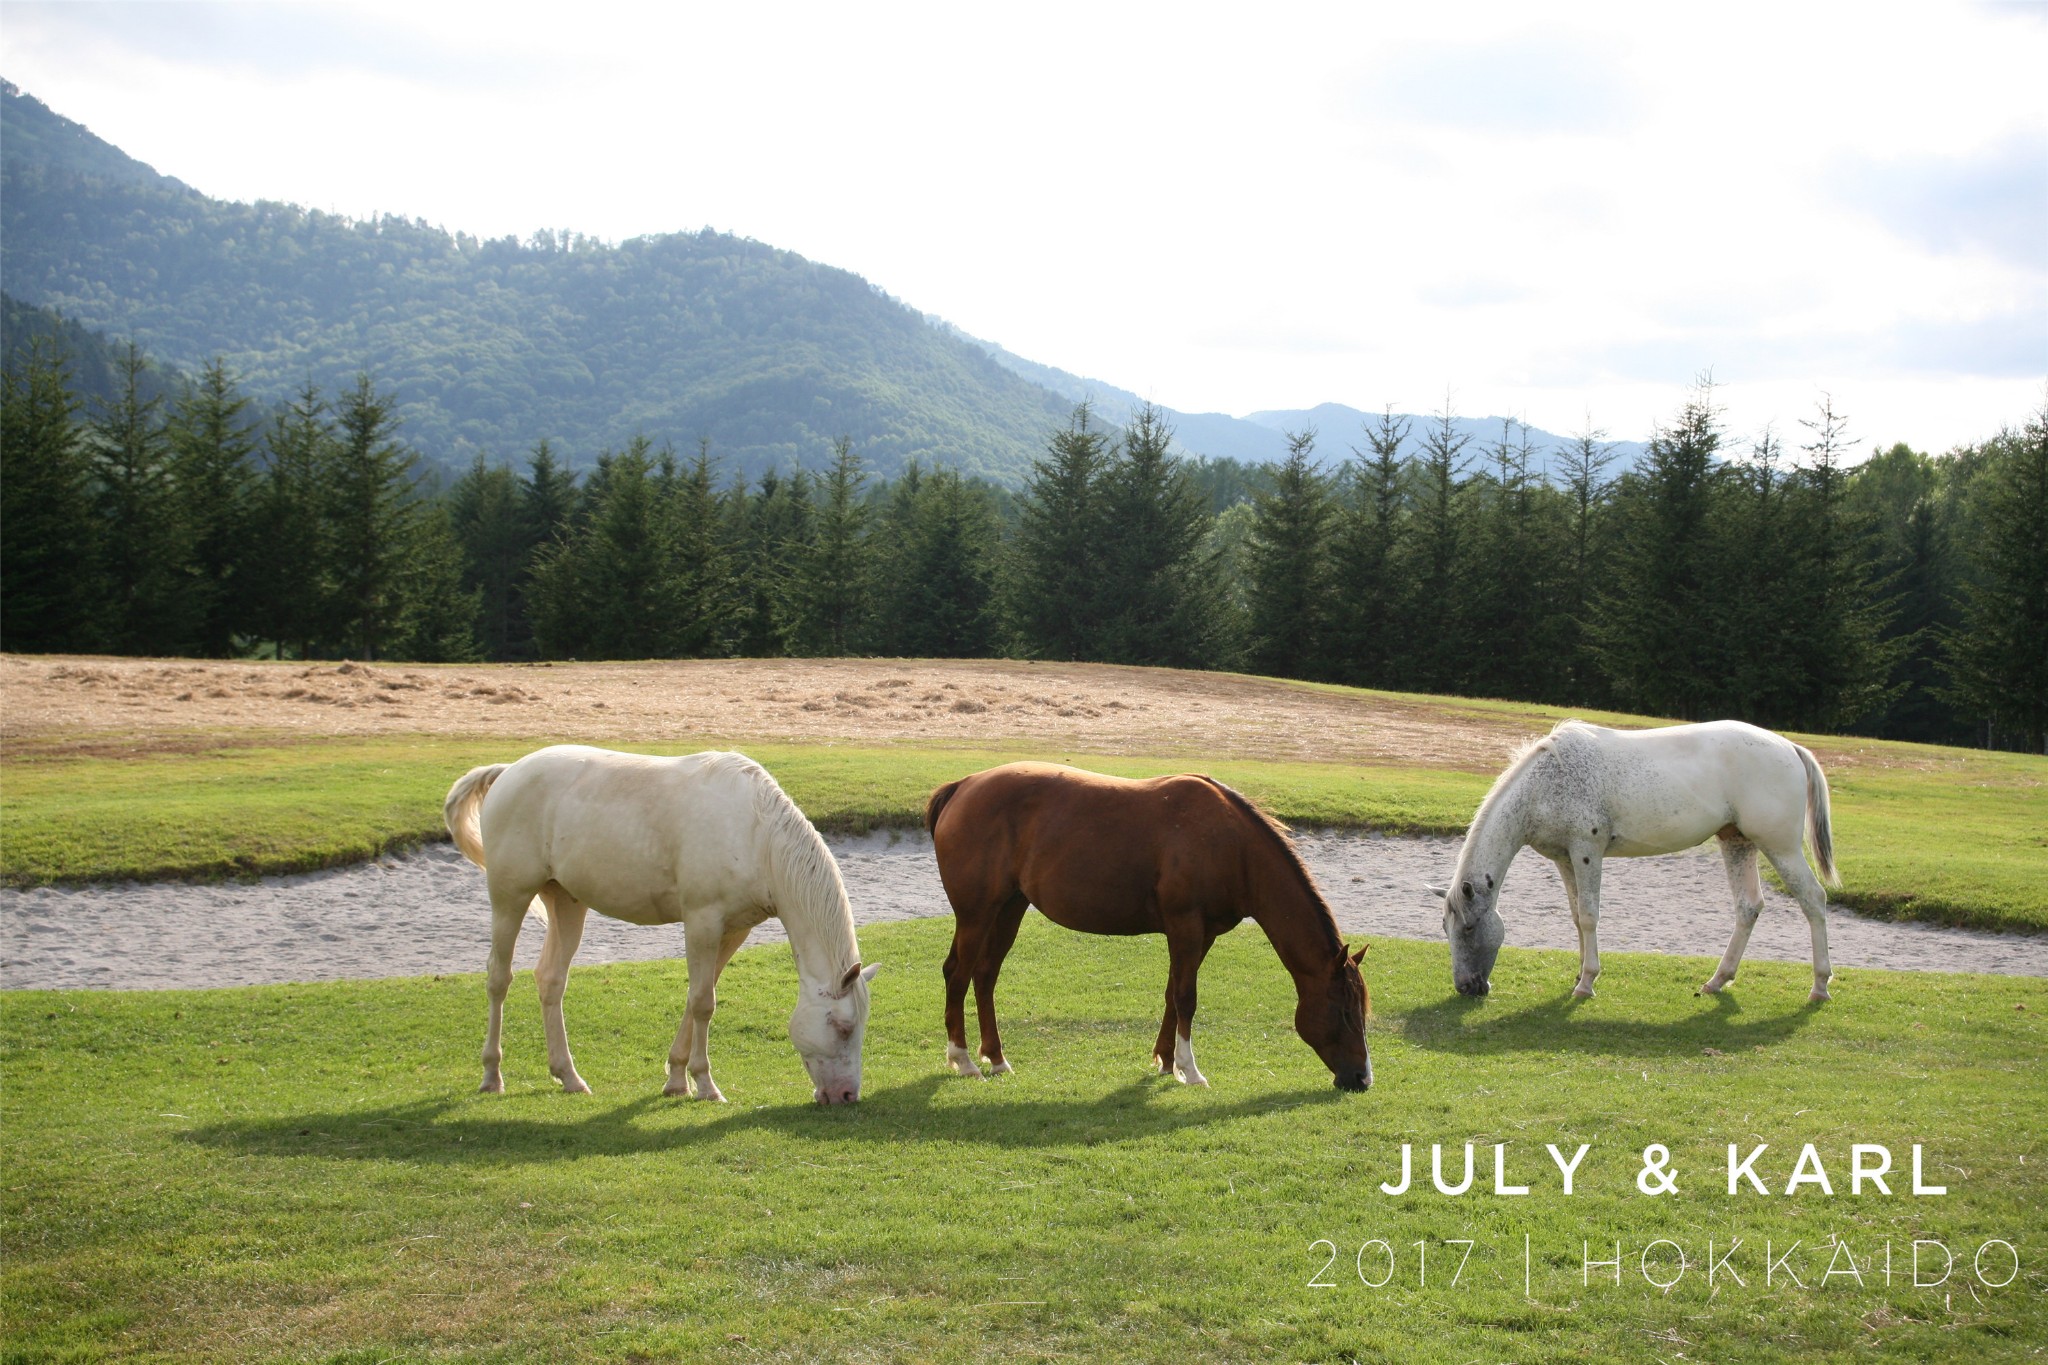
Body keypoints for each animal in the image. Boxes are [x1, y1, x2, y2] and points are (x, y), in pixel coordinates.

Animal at [448, 749, 880, 1113]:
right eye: (843, 1027)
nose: (847, 1095)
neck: (756, 835)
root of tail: (509, 771)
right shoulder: (702, 922)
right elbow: (704, 1003)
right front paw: (705, 1085)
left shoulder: (733, 930)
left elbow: (697, 998)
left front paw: (676, 1080)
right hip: (510, 897)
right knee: (498, 978)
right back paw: (492, 1075)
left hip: (567, 903)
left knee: (551, 980)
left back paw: (569, 1076)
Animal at [929, 765, 1376, 1096]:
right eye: (1344, 1010)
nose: (1362, 1078)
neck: (1232, 845)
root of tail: (963, 786)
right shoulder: (1185, 926)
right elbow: (1186, 998)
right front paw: (1190, 1070)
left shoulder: (1202, 934)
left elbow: (1172, 996)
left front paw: (1165, 1061)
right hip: (976, 915)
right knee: (958, 974)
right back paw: (963, 1060)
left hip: (1009, 908)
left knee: (985, 975)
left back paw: (997, 1058)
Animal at [1433, 724, 1851, 1002]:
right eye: (1446, 928)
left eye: (1468, 927)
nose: (1467, 987)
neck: (1547, 782)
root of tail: (1790, 747)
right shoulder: (1565, 859)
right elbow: (1576, 916)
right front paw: (1579, 973)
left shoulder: (1587, 851)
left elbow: (1590, 916)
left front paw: (1587, 982)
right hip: (1737, 843)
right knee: (1749, 907)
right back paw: (1717, 980)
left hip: (1780, 848)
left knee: (1813, 900)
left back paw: (1819, 986)